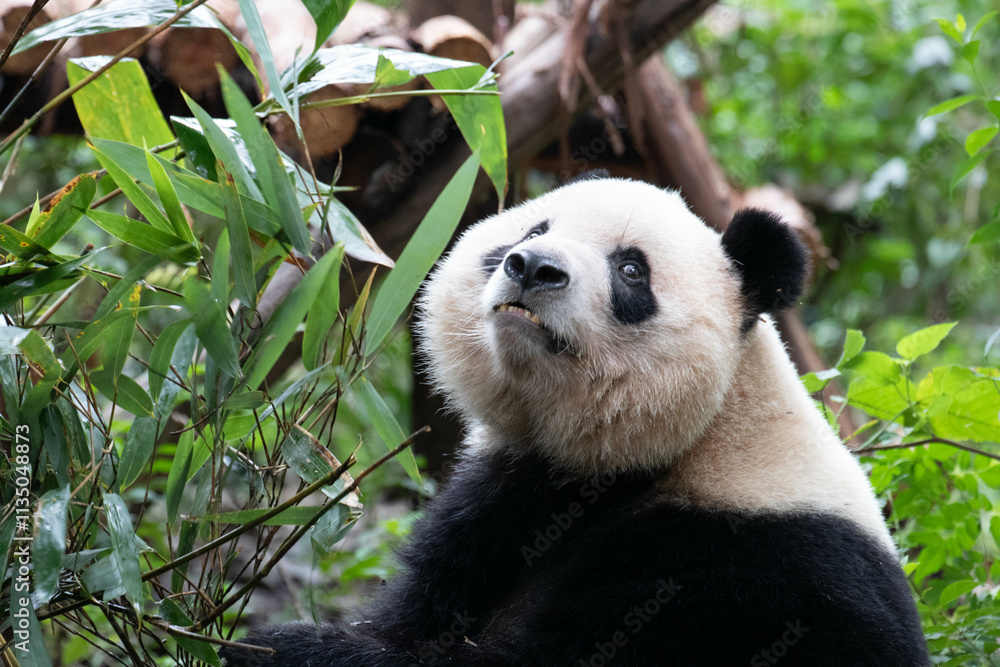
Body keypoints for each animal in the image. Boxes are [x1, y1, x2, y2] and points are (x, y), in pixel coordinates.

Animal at [222, 174, 928, 666]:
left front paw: (282, 646)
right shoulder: (506, 494)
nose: (534, 267)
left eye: (631, 268)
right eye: (530, 232)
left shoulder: (744, 572)